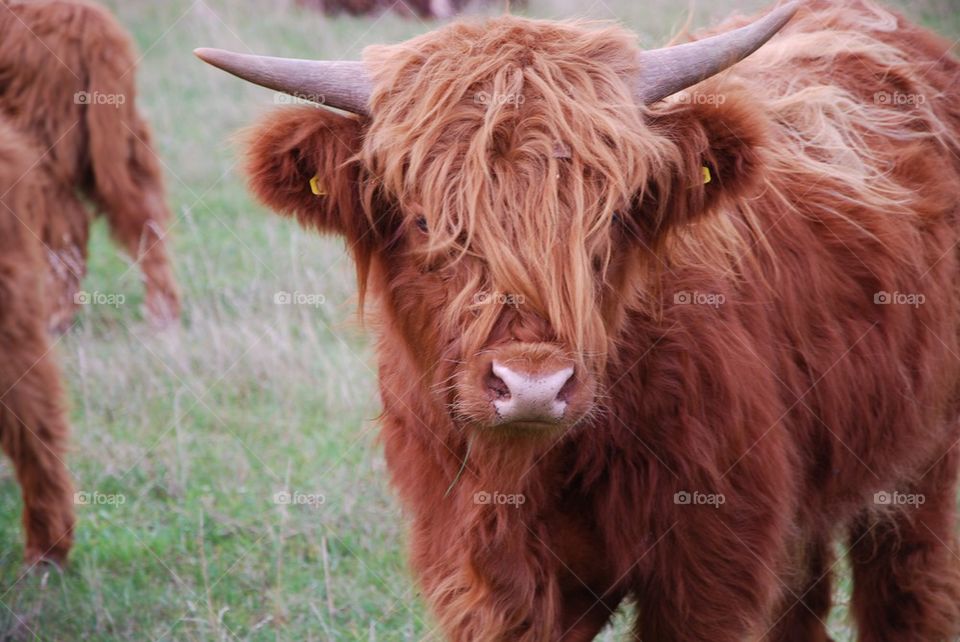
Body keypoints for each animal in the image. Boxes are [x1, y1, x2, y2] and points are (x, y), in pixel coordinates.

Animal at [0, 0, 180, 330]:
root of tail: (90, 21)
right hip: (124, 137)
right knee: (145, 215)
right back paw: (163, 313)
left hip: (40, 145)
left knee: (68, 223)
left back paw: (54, 317)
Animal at [197, 1, 960, 636]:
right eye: (423, 222)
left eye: (614, 217)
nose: (532, 385)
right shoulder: (482, 581)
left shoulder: (712, 573)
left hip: (921, 464)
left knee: (907, 591)